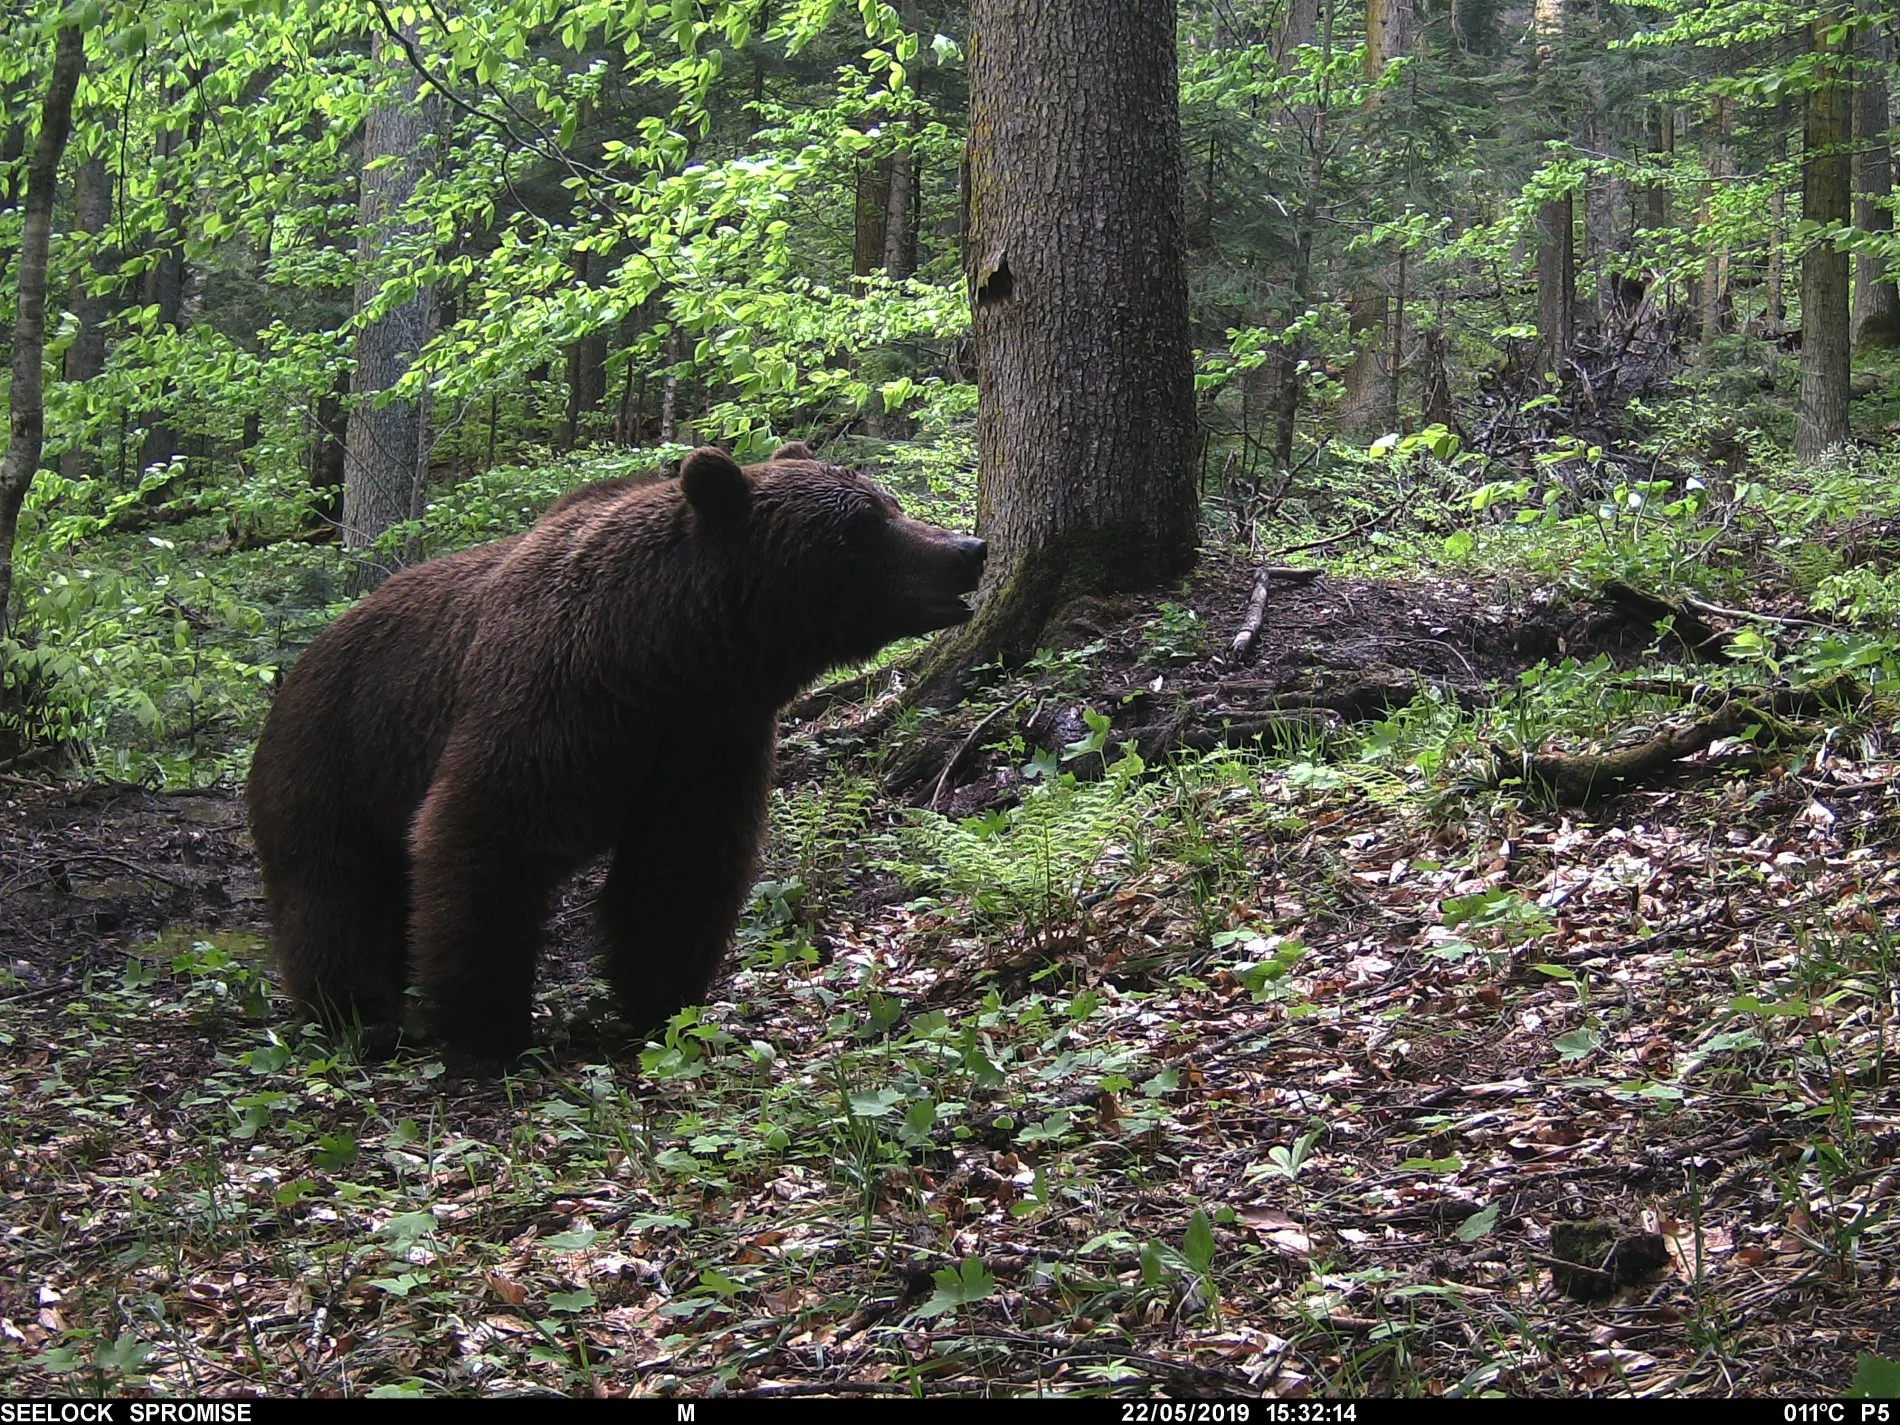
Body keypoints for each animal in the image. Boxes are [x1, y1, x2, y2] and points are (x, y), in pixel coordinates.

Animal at [245, 446, 988, 1071]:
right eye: (863, 525)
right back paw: (360, 1015)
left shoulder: (707, 742)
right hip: (337, 754)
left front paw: (663, 1001)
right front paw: (490, 1028)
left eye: (888, 500)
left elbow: (681, 868)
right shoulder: (550, 707)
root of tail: (303, 657)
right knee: (331, 888)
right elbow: (483, 839)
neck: (663, 657)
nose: (968, 547)